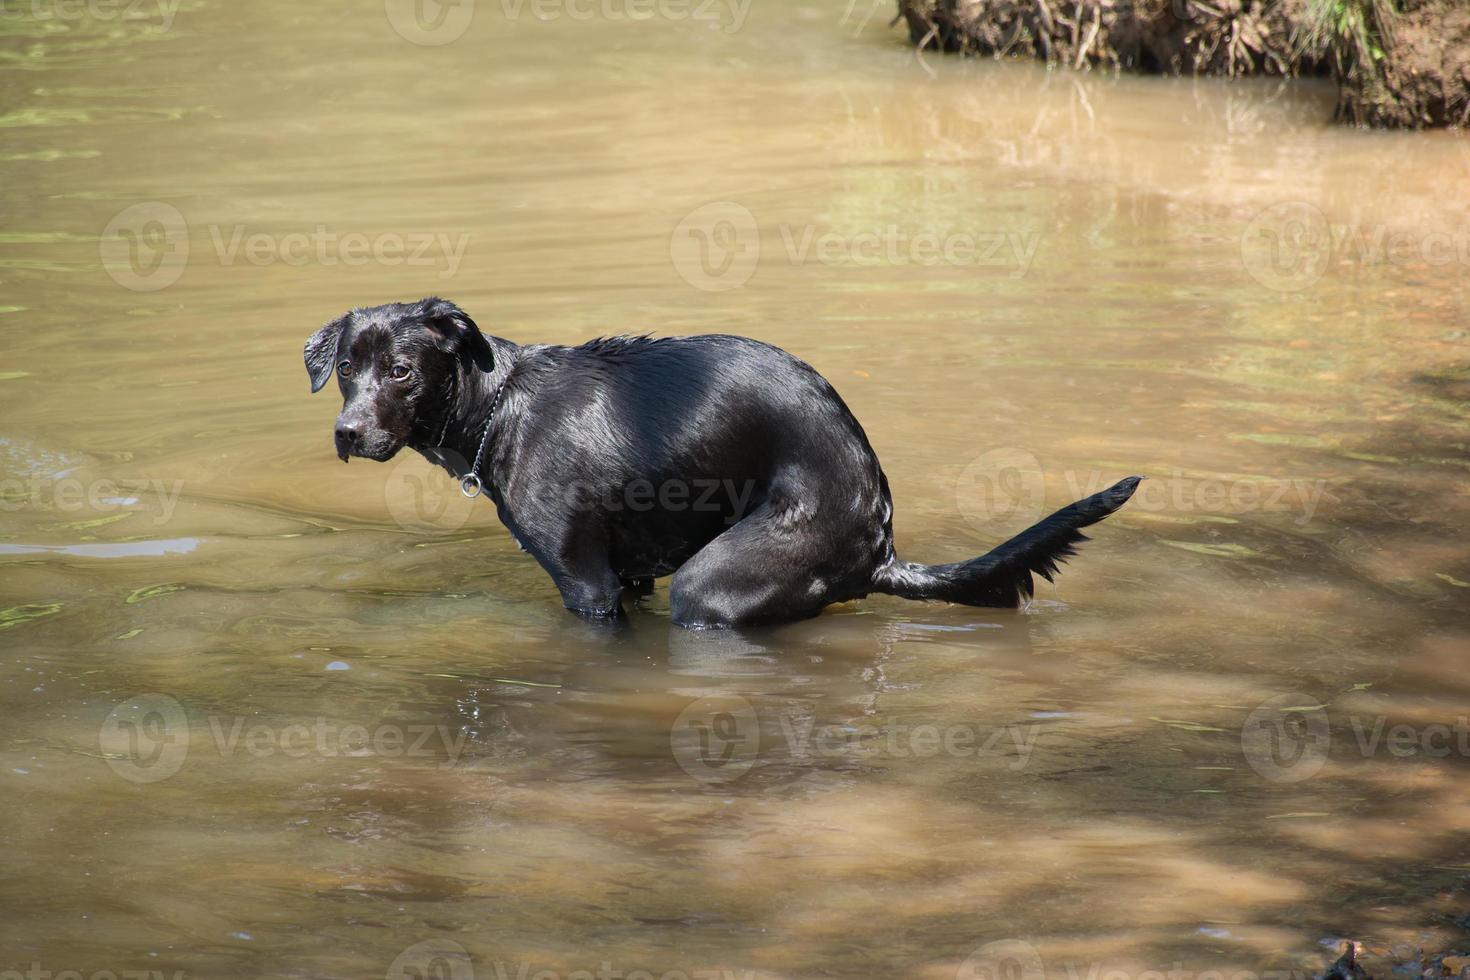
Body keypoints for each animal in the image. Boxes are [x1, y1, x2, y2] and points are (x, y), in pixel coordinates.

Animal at [304, 295, 1140, 628]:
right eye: (345, 368)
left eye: (401, 370)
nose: (346, 433)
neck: (501, 404)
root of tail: (882, 544)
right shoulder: (628, 576)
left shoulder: (588, 587)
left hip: (715, 584)